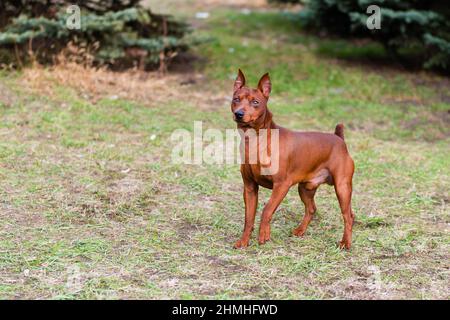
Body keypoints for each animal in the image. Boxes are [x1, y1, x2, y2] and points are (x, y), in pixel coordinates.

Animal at [232, 69, 356, 250]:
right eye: (236, 99)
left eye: (255, 102)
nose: (239, 114)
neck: (256, 141)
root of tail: (339, 139)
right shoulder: (249, 187)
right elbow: (249, 218)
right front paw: (244, 241)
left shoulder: (281, 185)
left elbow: (267, 210)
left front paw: (264, 234)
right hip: (305, 188)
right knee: (312, 209)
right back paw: (300, 231)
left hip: (342, 188)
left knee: (348, 216)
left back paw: (345, 242)